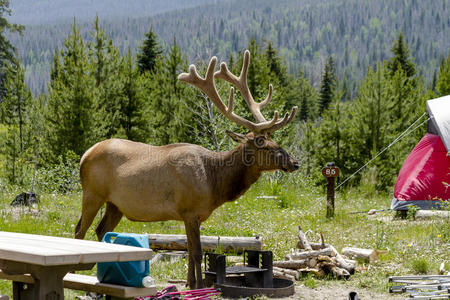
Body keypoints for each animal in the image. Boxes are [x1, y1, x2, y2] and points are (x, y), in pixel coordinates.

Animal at [74, 50, 298, 290]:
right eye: (262, 143)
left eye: (275, 141)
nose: (295, 162)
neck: (215, 182)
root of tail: (84, 155)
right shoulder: (189, 210)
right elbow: (197, 252)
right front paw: (199, 286)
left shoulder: (191, 215)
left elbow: (189, 250)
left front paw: (190, 283)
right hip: (92, 193)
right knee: (80, 229)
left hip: (115, 204)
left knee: (100, 230)